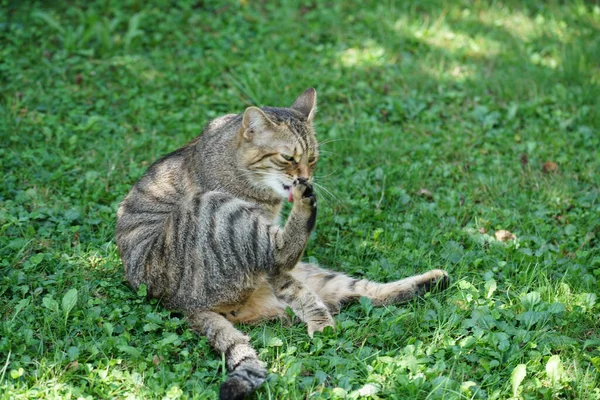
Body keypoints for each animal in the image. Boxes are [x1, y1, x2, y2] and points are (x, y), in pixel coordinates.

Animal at [116, 88, 446, 400]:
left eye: (312, 158)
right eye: (288, 158)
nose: (305, 177)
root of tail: (184, 307)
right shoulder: (261, 242)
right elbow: (286, 273)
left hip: (312, 274)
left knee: (362, 292)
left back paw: (432, 281)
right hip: (217, 212)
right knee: (284, 257)